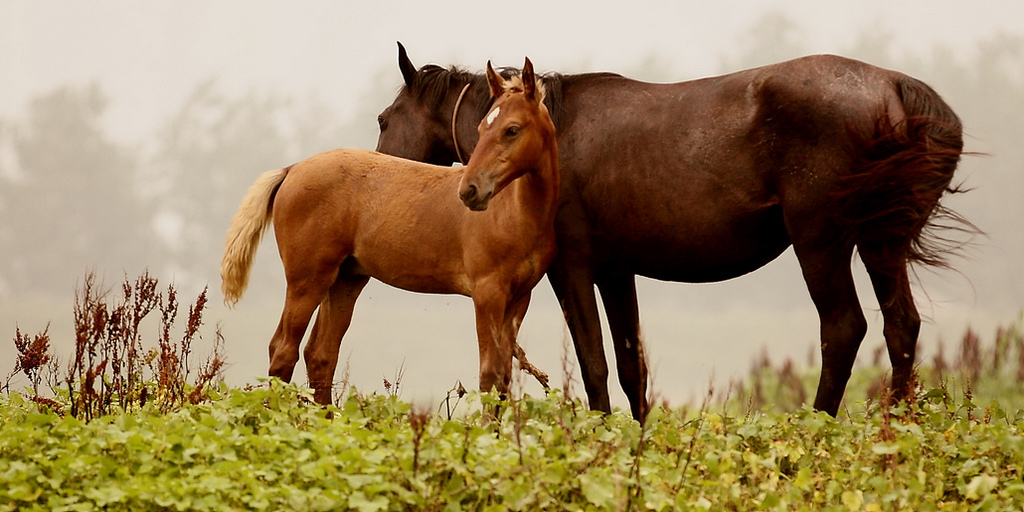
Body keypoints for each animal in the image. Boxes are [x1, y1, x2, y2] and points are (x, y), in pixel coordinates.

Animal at [222, 58, 561, 403]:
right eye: (480, 129)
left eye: (512, 129)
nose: (470, 191)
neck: (513, 212)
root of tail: (291, 170)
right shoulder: (487, 293)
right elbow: (490, 376)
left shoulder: (519, 298)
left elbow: (503, 378)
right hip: (307, 280)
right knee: (283, 351)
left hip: (344, 279)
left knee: (320, 354)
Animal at [374, 43, 966, 419]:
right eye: (482, 128)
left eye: (383, 119)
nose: (370, 167)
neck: (556, 140)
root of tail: (894, 87)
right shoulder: (615, 272)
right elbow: (630, 366)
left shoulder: (572, 269)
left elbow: (594, 364)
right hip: (879, 243)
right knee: (901, 326)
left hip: (821, 242)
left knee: (843, 329)